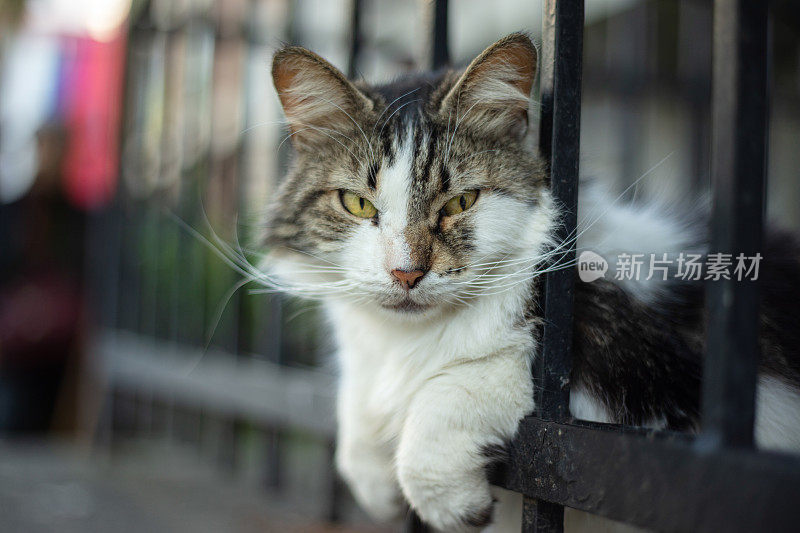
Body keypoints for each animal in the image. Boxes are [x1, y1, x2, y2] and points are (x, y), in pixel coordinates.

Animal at [260, 31, 800, 528]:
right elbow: (357, 414)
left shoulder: (638, 386)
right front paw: (376, 485)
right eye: (357, 204)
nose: (406, 272)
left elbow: (458, 390)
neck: (405, 342)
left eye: (460, 202)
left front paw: (453, 505)